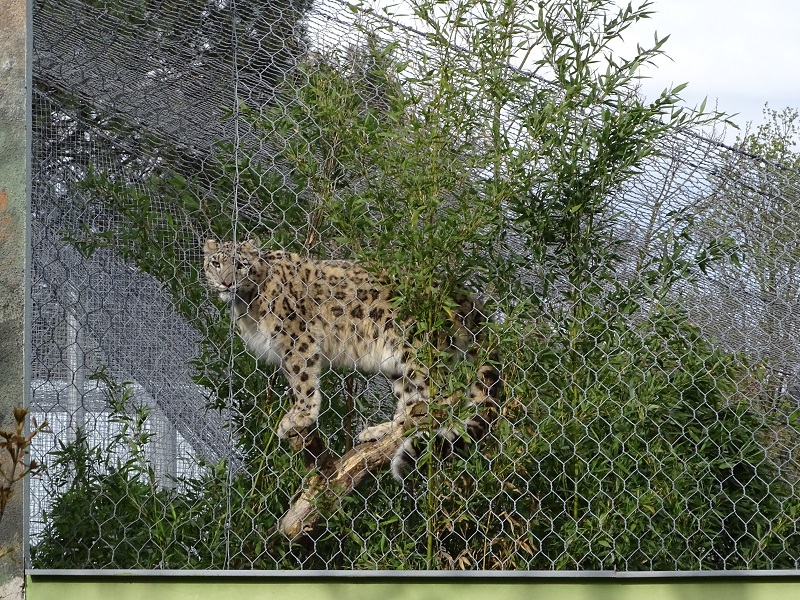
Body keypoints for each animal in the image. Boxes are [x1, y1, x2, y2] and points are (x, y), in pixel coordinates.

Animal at [203, 238, 500, 479]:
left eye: (240, 265)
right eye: (215, 263)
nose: (226, 282)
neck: (246, 304)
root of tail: (467, 297)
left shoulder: (296, 338)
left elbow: (302, 379)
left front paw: (299, 417)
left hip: (417, 346)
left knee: (444, 394)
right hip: (398, 364)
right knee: (410, 396)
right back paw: (383, 430)